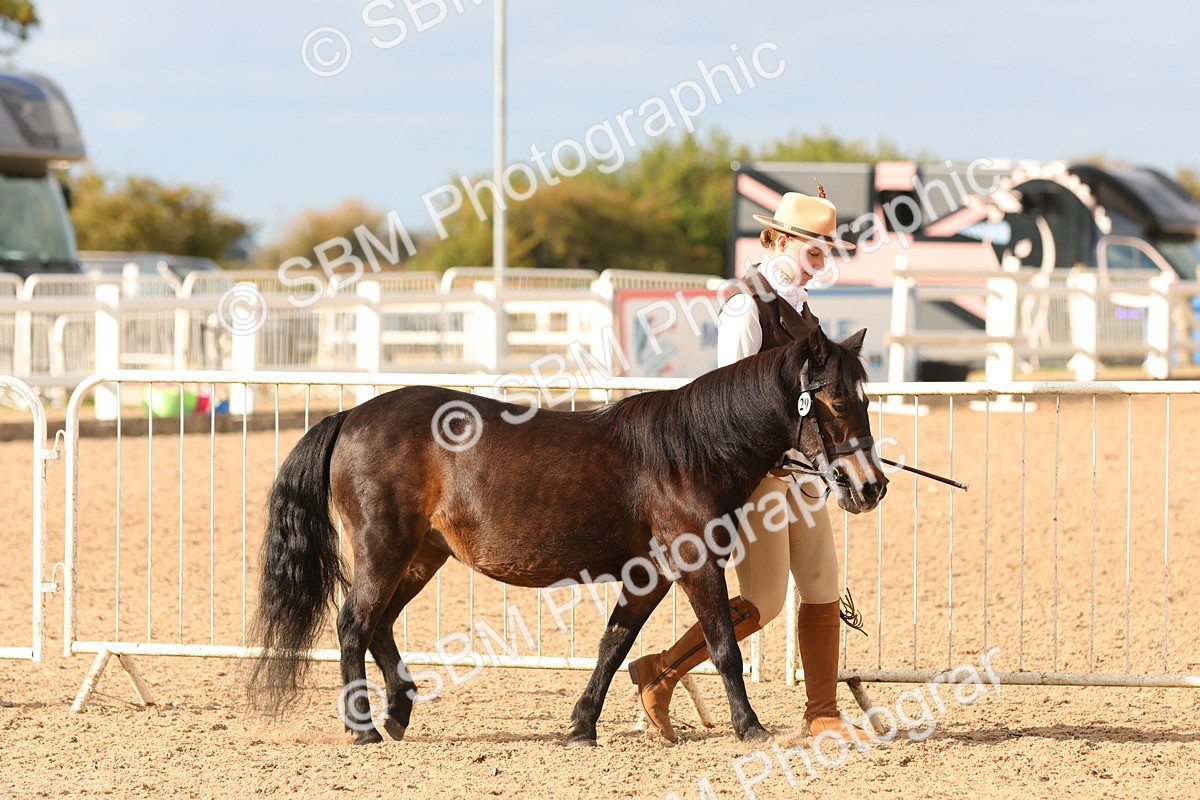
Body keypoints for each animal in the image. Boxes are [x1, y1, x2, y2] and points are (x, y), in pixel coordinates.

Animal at [247, 324, 887, 746]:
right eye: (834, 399)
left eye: (864, 397)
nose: (872, 485)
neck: (691, 450)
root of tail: (349, 417)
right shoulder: (694, 563)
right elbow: (724, 647)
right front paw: (750, 727)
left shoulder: (650, 574)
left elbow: (614, 645)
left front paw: (582, 725)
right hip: (384, 549)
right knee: (354, 623)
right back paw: (363, 731)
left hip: (421, 556)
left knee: (379, 624)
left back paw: (398, 715)